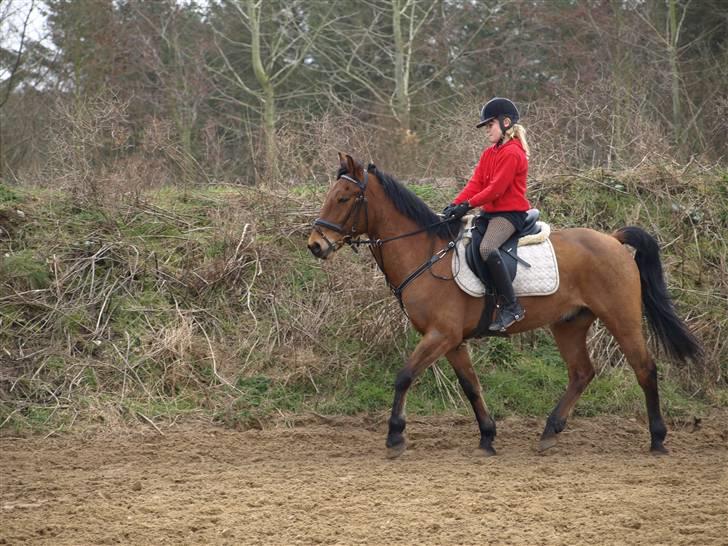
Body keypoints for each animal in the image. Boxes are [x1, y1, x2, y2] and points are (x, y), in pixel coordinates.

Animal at [308, 153, 704, 454]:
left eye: (343, 198)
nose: (315, 244)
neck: (425, 253)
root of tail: (612, 239)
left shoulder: (440, 335)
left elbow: (404, 376)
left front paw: (394, 435)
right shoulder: (452, 340)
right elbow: (471, 385)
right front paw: (487, 436)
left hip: (621, 317)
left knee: (644, 368)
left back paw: (657, 439)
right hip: (569, 323)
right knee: (581, 372)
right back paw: (549, 431)